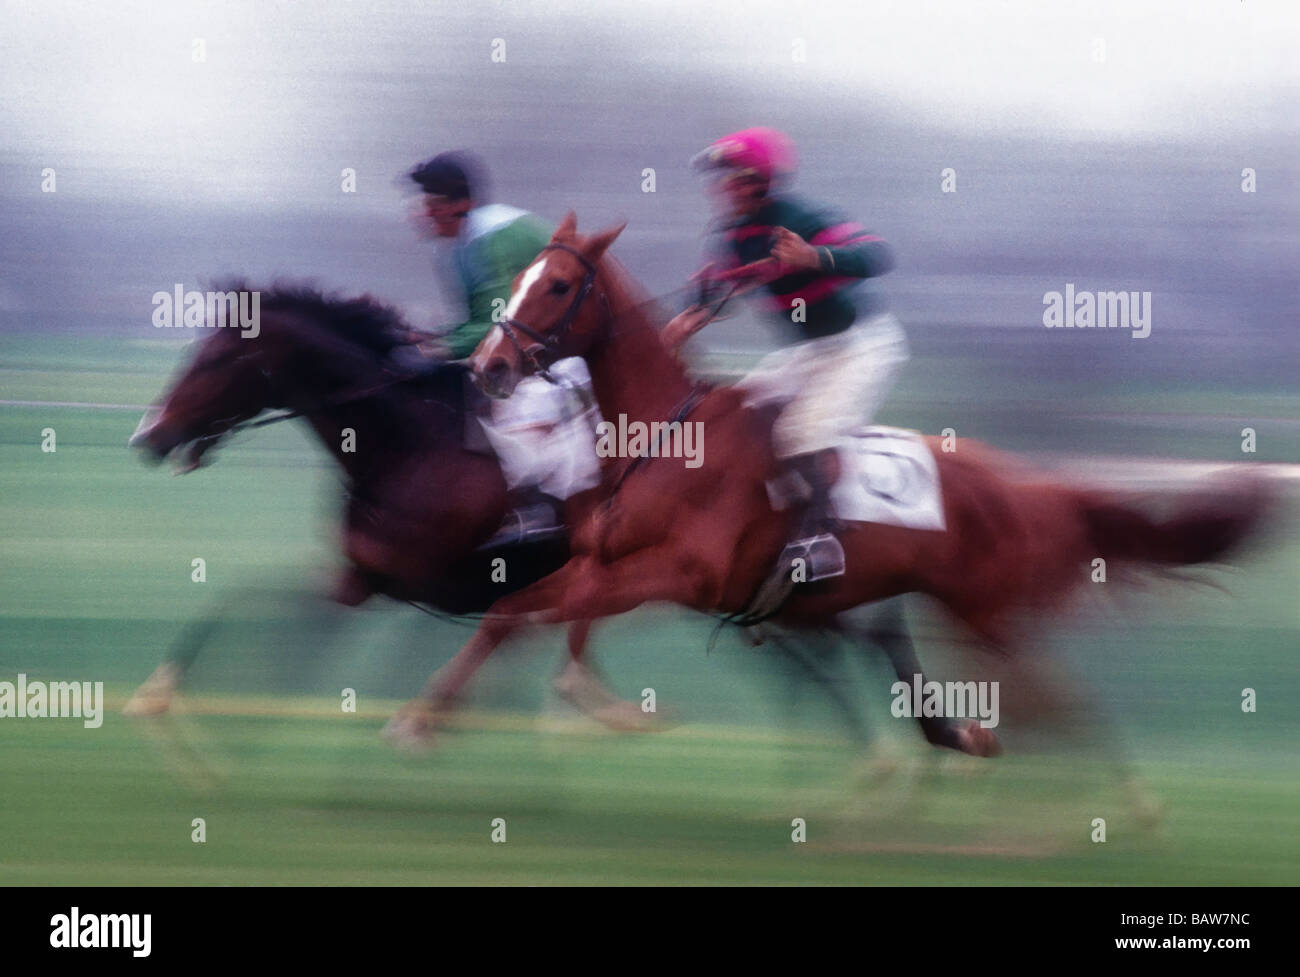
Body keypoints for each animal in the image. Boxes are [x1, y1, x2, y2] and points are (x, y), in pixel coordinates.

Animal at [382, 213, 1268, 753]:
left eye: (559, 286)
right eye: (521, 278)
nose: (488, 366)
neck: (662, 433)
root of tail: (1040, 487)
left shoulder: (678, 572)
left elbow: (555, 614)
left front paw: (585, 702)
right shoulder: (601, 560)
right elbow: (513, 612)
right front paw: (420, 718)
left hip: (989, 614)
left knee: (1063, 708)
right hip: (966, 613)